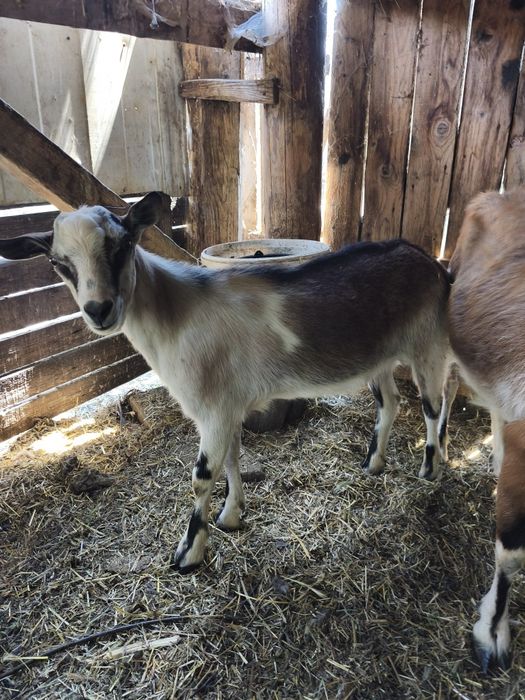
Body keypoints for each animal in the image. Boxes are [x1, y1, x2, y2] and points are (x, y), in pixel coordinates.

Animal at [0, 193, 450, 574]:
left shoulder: (214, 408)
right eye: (57, 263)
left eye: (124, 244)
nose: (99, 310)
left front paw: (189, 553)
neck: (176, 314)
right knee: (390, 401)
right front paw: (231, 516)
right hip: (382, 355)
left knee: (433, 404)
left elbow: (203, 476)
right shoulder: (227, 404)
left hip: (427, 344)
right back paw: (374, 463)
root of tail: (430, 263)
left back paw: (431, 468)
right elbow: (233, 459)